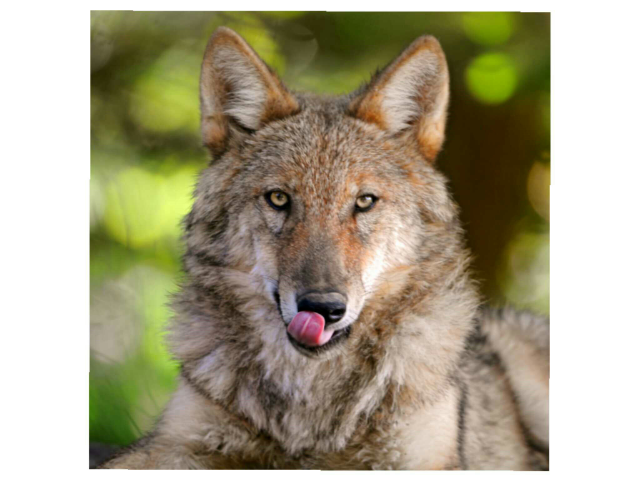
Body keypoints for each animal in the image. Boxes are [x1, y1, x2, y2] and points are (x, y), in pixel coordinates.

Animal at [100, 27, 549, 470]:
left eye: (364, 201)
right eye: (279, 198)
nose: (322, 308)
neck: (309, 409)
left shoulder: (426, 460)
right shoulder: (175, 440)